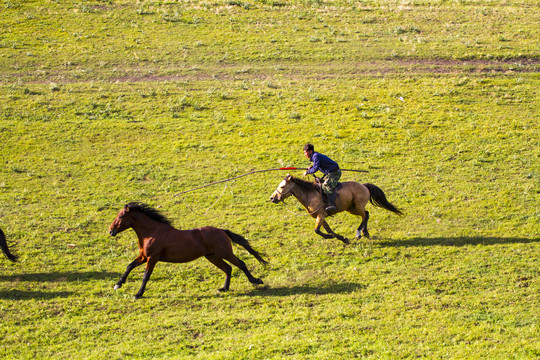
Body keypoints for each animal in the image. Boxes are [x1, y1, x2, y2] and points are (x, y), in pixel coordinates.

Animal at [268, 175, 400, 243]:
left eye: (282, 186)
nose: (272, 198)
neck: (310, 194)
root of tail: (364, 186)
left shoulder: (321, 215)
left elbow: (317, 231)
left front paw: (334, 237)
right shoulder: (320, 217)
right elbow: (327, 230)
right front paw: (342, 238)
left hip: (358, 205)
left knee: (364, 215)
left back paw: (359, 233)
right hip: (351, 209)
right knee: (366, 214)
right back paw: (365, 232)